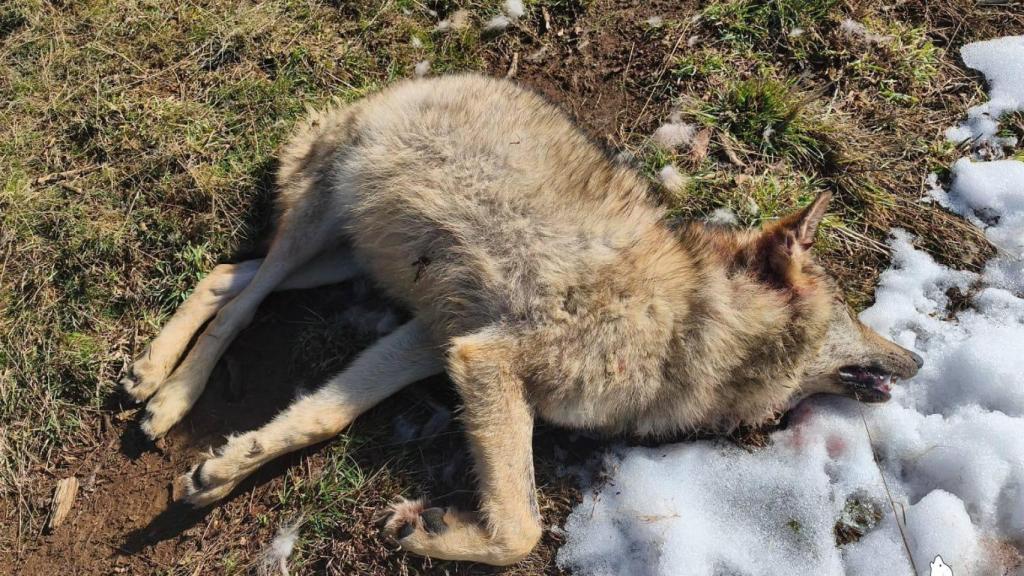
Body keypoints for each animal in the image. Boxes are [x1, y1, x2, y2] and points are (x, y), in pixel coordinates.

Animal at [121, 74, 922, 565]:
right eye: (853, 314)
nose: (918, 361)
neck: (686, 323)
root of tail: (416, 82)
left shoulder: (438, 339)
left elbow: (319, 417)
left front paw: (224, 470)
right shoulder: (487, 361)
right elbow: (521, 529)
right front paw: (426, 533)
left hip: (346, 259)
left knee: (225, 277)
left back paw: (155, 381)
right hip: (319, 230)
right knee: (245, 298)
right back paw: (168, 397)